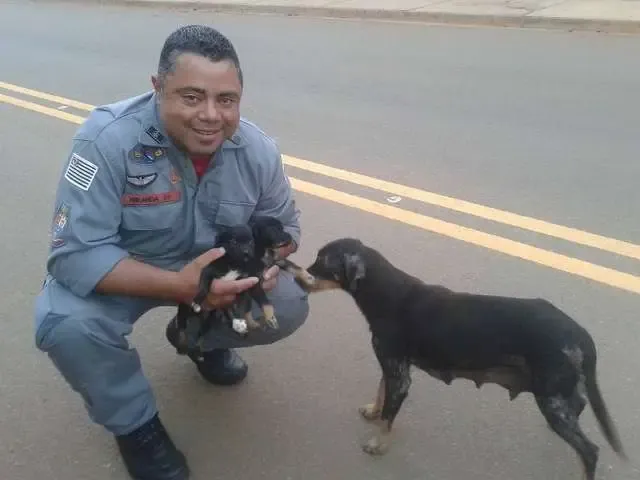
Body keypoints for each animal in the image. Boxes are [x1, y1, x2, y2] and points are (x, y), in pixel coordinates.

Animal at [298, 237, 628, 480]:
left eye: (323, 262)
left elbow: (389, 416)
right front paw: (373, 410)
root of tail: (581, 334)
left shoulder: (400, 377)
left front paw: (379, 443)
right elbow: (381, 395)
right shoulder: (391, 367)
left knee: (590, 451)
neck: (389, 293)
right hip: (558, 397)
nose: (297, 271)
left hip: (552, 400)